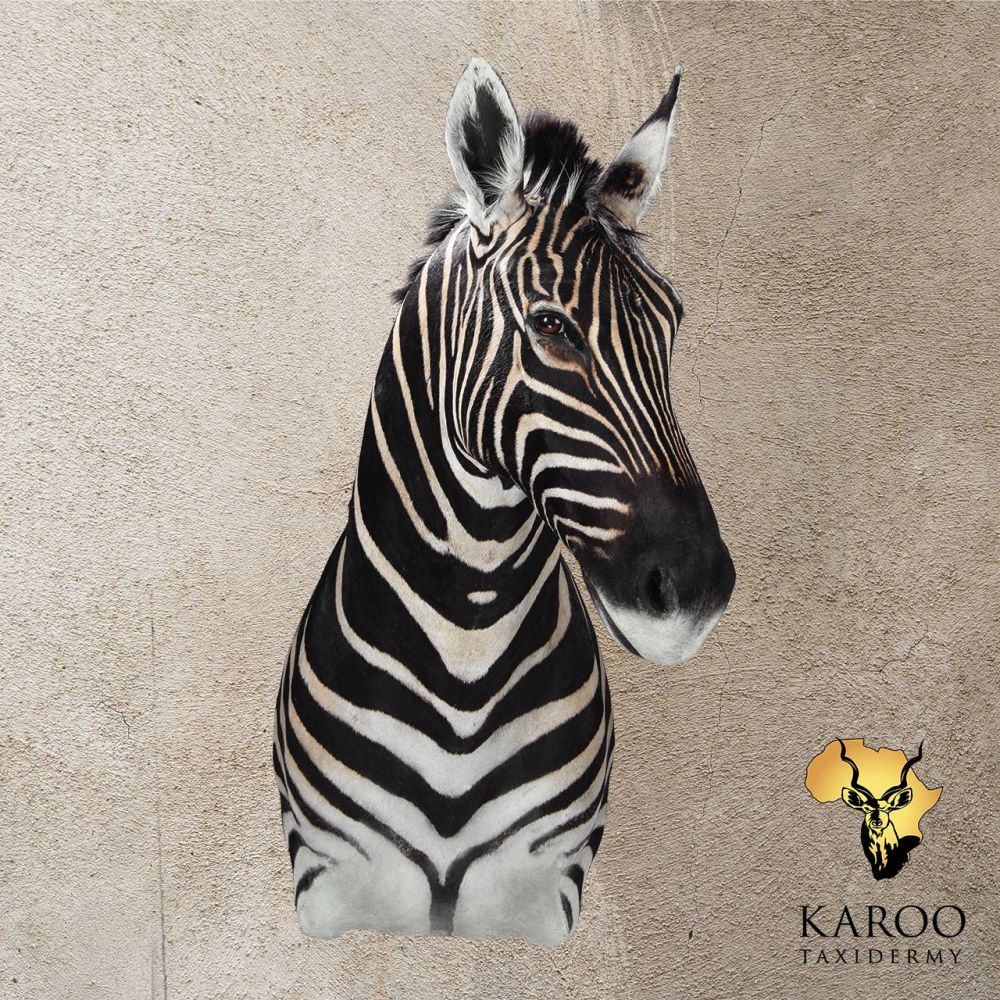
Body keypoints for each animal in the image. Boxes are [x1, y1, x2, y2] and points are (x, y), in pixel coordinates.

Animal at [273, 58, 735, 947]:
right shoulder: (331, 877)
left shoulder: (545, 887)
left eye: (673, 323)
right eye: (552, 327)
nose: (697, 592)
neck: (467, 651)